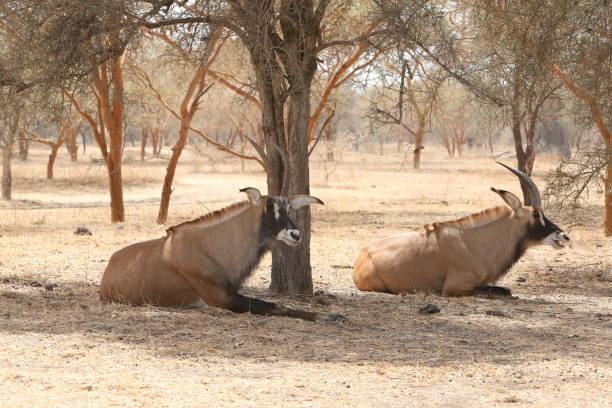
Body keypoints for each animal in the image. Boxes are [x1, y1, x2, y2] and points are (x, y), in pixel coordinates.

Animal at [98, 140, 342, 322]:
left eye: (289, 207)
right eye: (268, 206)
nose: (295, 235)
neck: (212, 246)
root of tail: (109, 267)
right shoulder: (220, 298)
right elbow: (276, 305)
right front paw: (327, 316)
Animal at [352, 163, 572, 296]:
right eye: (536, 214)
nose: (564, 235)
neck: (473, 243)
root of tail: (362, 256)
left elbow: (504, 290)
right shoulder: (457, 287)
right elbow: (498, 292)